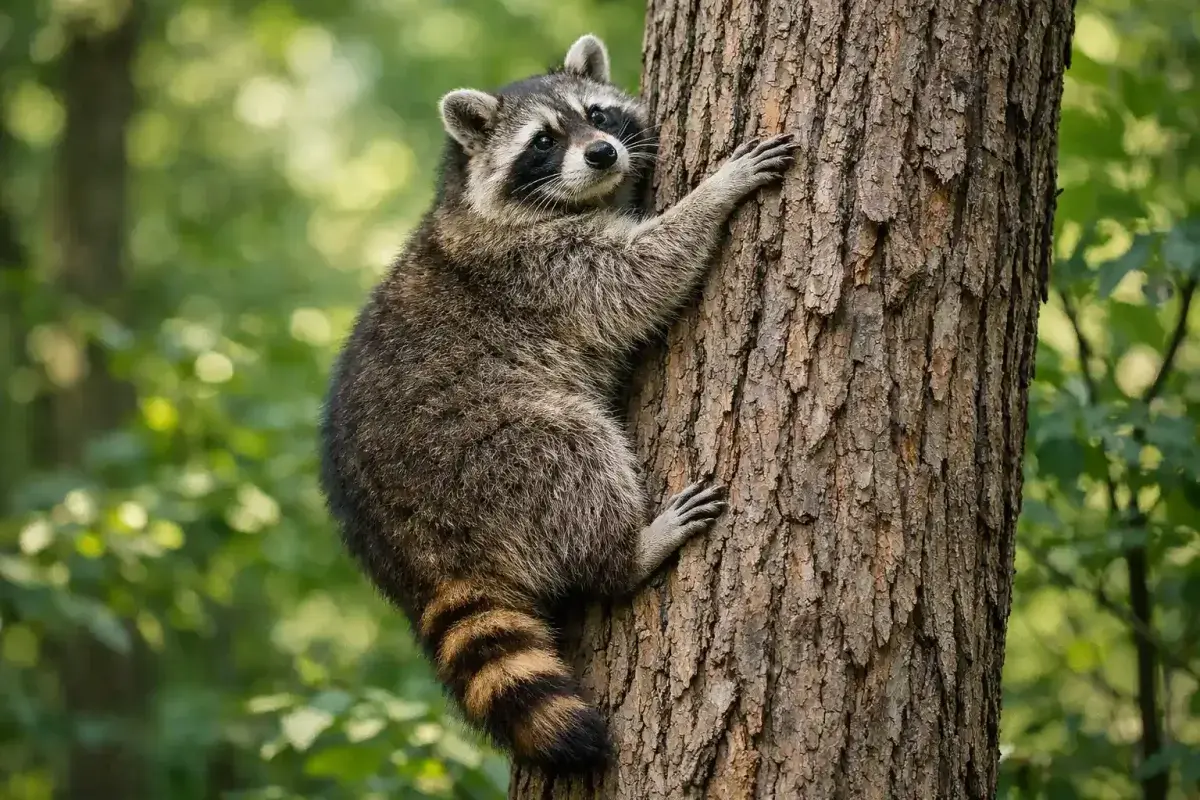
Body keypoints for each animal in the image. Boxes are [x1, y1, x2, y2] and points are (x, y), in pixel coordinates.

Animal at [319, 34, 798, 772]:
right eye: (543, 141)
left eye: (597, 114)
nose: (601, 153)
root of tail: (411, 552)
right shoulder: (536, 267)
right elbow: (637, 276)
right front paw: (714, 193)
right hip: (489, 454)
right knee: (573, 450)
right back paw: (628, 553)